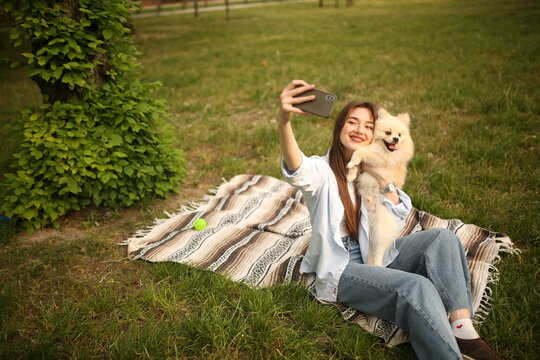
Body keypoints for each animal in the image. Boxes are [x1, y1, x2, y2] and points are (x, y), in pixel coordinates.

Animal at [346, 108, 414, 266]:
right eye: (388, 133)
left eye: (399, 135)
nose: (396, 139)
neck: (383, 150)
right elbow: (356, 162)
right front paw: (351, 173)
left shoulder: (379, 160)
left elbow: (359, 152)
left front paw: (352, 163)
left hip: (382, 224)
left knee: (378, 251)